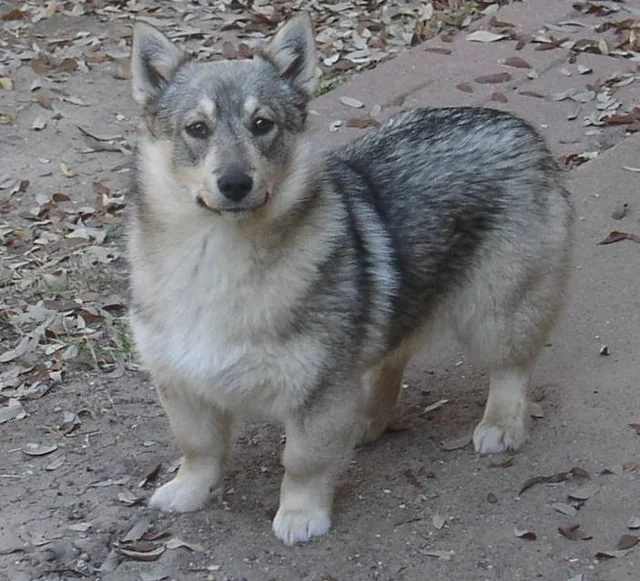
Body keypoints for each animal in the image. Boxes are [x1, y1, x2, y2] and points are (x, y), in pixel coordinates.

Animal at [127, 15, 572, 548]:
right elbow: (199, 448)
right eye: (197, 128)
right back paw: (367, 419)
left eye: (262, 125)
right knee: (390, 360)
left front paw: (301, 514)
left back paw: (501, 424)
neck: (216, 253)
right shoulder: (180, 382)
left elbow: (302, 460)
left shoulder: (318, 389)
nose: (234, 184)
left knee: (510, 370)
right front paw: (190, 490)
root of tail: (518, 127)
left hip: (496, 313)